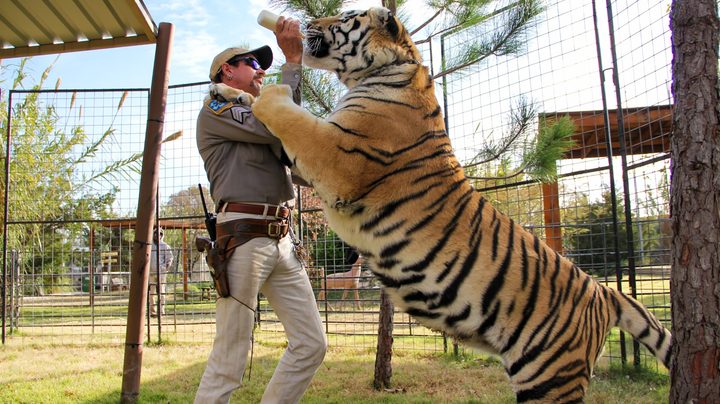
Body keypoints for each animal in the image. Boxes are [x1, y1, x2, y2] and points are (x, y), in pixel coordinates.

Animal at [220, 7, 673, 402]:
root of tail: (603, 292)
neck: (388, 70)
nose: (308, 22)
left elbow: (288, 113)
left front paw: (265, 89)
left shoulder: (336, 156)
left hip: (549, 375)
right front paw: (228, 88)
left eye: (345, 17)